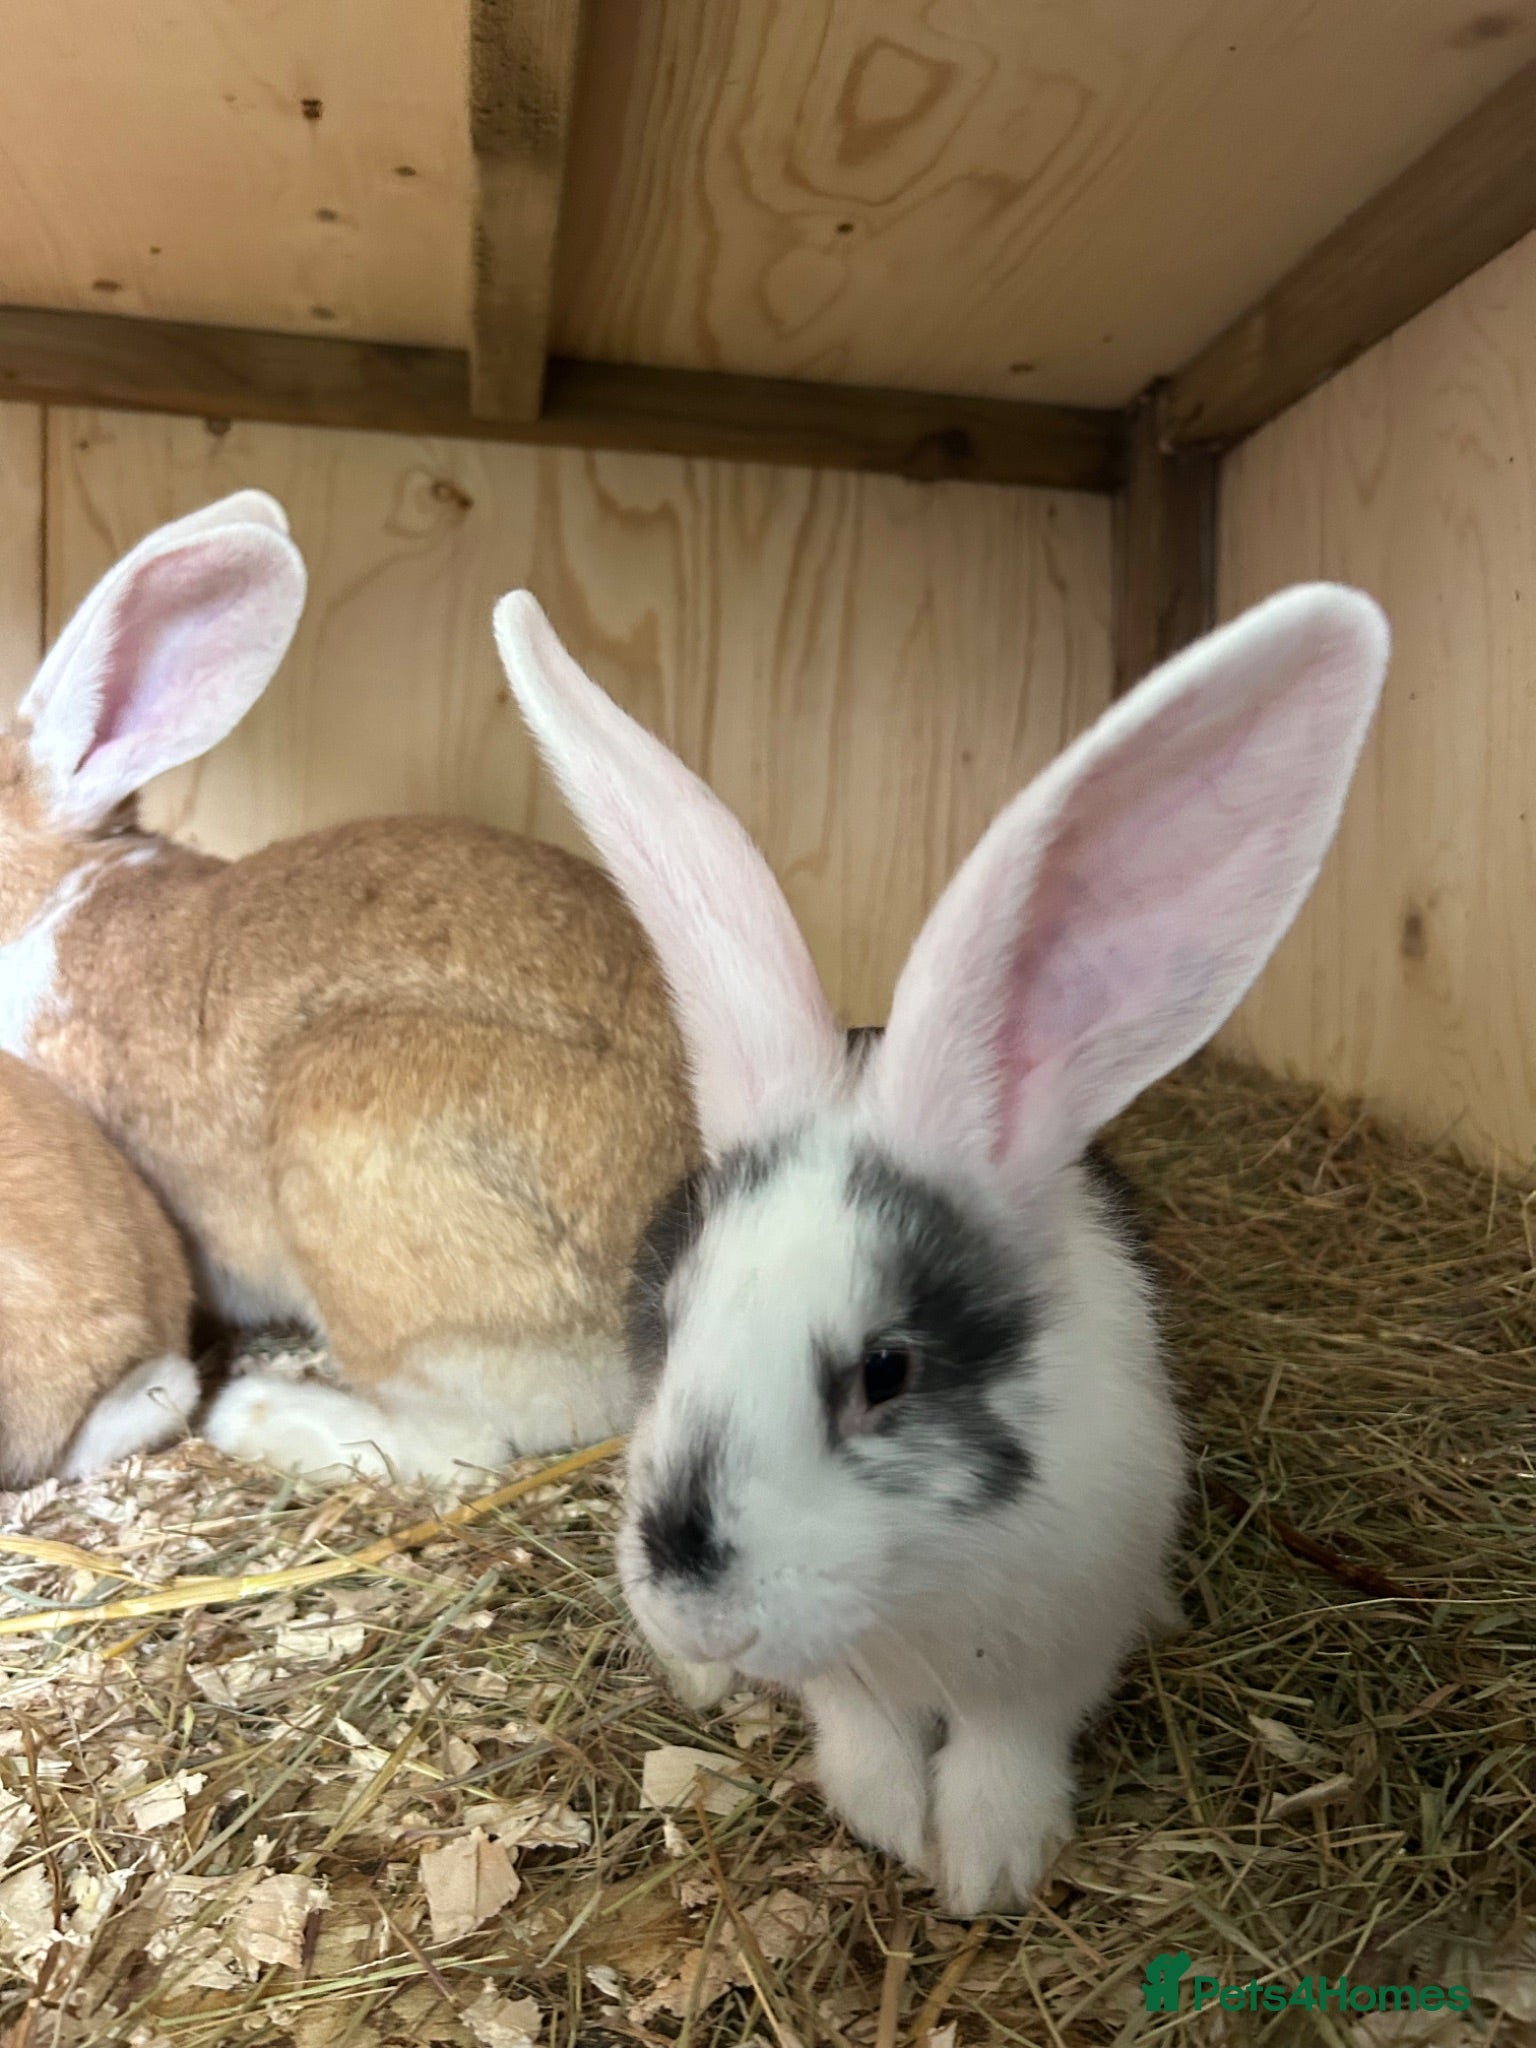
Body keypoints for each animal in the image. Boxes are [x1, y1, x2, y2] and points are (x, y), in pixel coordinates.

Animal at [493, 580, 1390, 1913]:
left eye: (889, 1369)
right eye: (664, 1318)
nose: (700, 1612)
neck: (912, 1589)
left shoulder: (1050, 1654)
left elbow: (1008, 1748)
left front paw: (984, 1866)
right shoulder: (849, 1683)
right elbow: (862, 1737)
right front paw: (884, 1822)